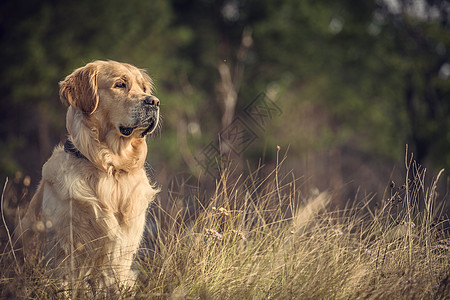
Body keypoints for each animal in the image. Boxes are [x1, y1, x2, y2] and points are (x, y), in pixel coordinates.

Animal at [18, 59, 161, 292]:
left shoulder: (123, 255)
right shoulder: (64, 251)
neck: (110, 168)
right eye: (120, 84)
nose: (155, 102)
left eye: (144, 88)